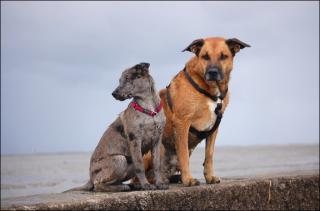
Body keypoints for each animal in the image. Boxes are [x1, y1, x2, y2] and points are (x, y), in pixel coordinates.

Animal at [63, 62, 166, 191]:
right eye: (120, 80)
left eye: (127, 78)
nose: (114, 94)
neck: (149, 109)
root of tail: (90, 178)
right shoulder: (135, 140)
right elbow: (140, 166)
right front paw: (146, 185)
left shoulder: (157, 140)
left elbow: (157, 164)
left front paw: (159, 183)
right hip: (120, 160)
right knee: (98, 185)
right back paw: (122, 187)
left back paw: (132, 185)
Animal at [142, 36, 250, 186]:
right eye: (205, 56)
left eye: (223, 56)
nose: (212, 72)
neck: (209, 91)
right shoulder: (182, 123)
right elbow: (183, 156)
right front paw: (188, 179)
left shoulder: (214, 128)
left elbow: (209, 155)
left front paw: (209, 177)